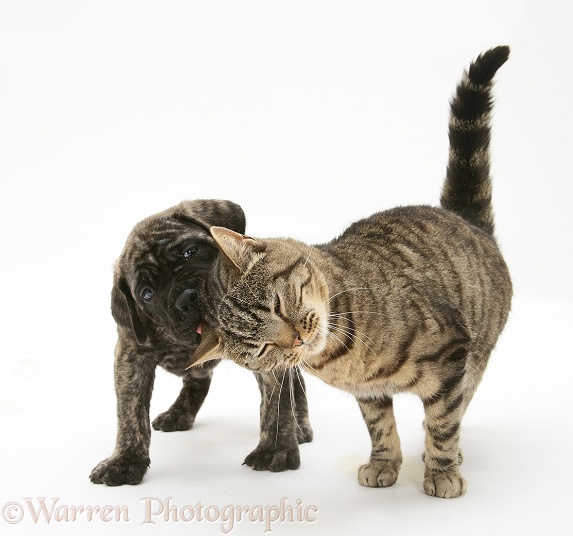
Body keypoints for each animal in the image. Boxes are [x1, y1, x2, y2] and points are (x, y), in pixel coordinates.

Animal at [89, 200, 312, 486]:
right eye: (147, 294)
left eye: (190, 252)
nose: (187, 298)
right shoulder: (130, 356)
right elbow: (130, 411)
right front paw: (125, 460)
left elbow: (278, 403)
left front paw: (276, 450)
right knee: (198, 379)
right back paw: (179, 413)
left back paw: (300, 427)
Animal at [190, 47, 512, 498]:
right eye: (261, 348)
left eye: (276, 304)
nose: (296, 338)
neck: (347, 351)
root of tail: (464, 219)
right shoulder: (369, 392)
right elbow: (380, 428)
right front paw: (384, 464)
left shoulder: (453, 356)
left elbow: (444, 423)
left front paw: (442, 471)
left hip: (479, 351)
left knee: (461, 403)